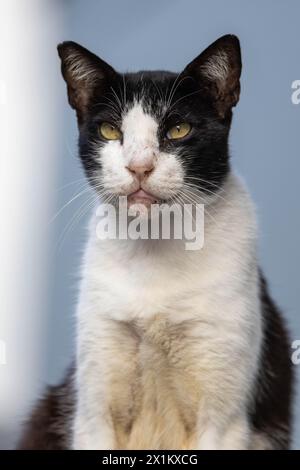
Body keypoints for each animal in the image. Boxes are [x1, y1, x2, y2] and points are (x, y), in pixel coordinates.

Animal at [18, 35, 292, 450]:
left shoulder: (222, 418)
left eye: (178, 129)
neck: (155, 247)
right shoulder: (93, 410)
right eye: (110, 130)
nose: (139, 166)